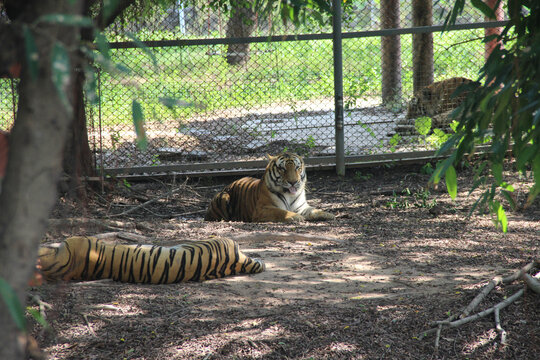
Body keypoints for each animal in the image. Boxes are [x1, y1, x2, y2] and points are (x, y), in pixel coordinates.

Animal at [205, 151, 336, 222]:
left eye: (297, 168)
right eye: (282, 169)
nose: (293, 182)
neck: (289, 194)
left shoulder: (302, 207)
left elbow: (314, 210)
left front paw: (328, 214)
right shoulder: (262, 209)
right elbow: (281, 212)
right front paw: (296, 217)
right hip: (224, 196)